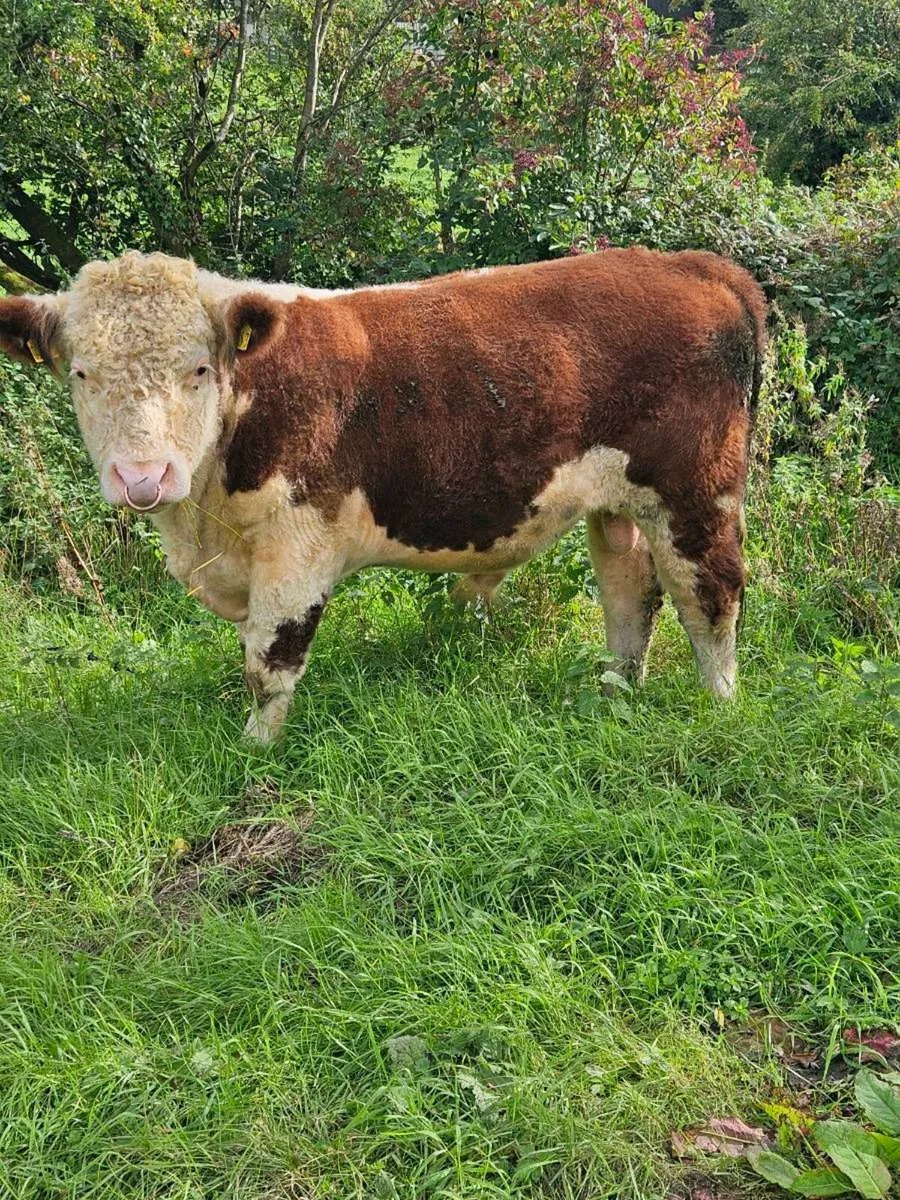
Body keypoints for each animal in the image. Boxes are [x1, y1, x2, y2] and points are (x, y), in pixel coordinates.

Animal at [0, 248, 765, 741]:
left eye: (198, 369)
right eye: (81, 373)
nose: (143, 478)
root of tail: (697, 264)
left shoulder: (297, 547)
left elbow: (268, 665)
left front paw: (255, 753)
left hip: (698, 492)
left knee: (710, 594)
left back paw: (721, 706)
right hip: (620, 500)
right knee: (630, 589)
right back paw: (614, 693)